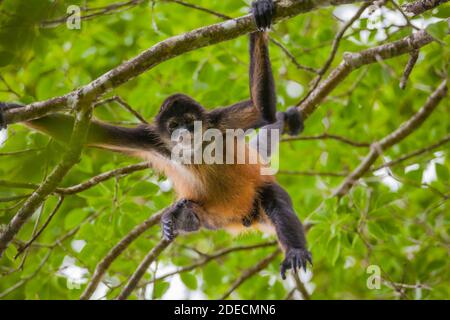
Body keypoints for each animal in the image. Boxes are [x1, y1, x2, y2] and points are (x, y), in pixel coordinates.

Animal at [0, 0, 310, 278]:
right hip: (216, 216)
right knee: (194, 213)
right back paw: (178, 216)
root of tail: (244, 217)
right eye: (173, 125)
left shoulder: (219, 122)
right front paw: (8, 109)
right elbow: (90, 133)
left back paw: (294, 249)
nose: (184, 132)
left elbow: (262, 111)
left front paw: (260, 10)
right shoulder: (154, 139)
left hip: (259, 192)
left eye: (189, 121)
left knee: (276, 204)